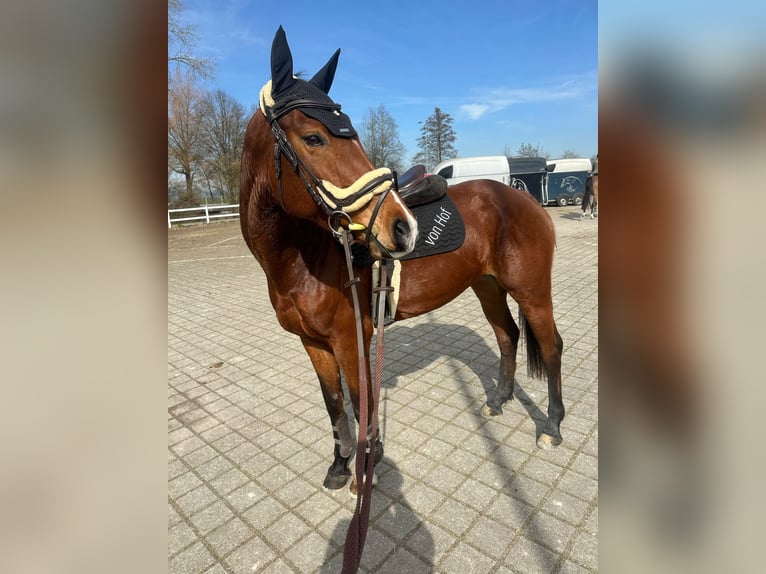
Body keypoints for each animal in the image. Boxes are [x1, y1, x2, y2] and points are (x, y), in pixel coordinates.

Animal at [240, 27, 565, 493]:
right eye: (314, 137)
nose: (402, 227)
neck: (300, 259)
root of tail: (523, 198)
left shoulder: (350, 339)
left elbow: (363, 405)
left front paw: (366, 467)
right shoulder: (314, 344)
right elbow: (334, 405)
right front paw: (339, 466)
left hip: (532, 291)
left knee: (552, 346)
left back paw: (552, 427)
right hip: (487, 287)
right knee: (508, 336)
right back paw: (498, 402)